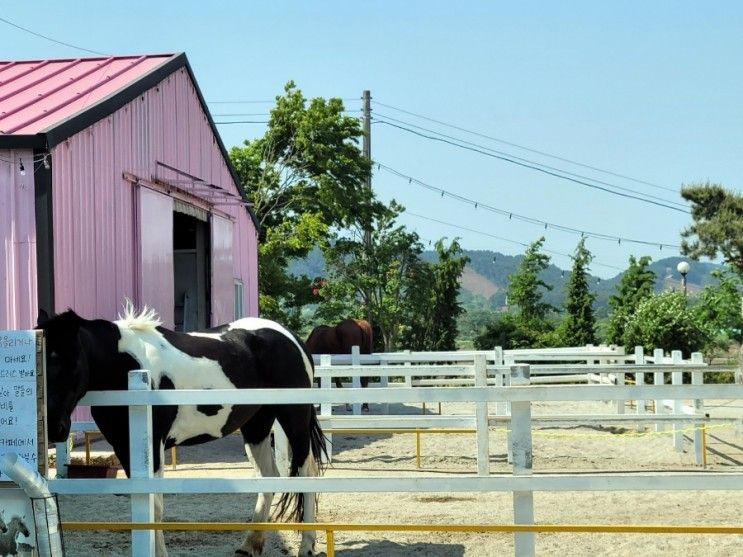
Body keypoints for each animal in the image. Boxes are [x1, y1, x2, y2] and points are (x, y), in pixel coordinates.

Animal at [37, 304, 326, 556]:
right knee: (268, 476)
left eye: (72, 363)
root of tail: (292, 339)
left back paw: (306, 547)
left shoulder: (153, 446)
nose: (54, 428)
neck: (126, 364)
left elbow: (155, 507)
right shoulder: (125, 446)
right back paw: (250, 544)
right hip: (257, 425)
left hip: (294, 418)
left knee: (306, 474)